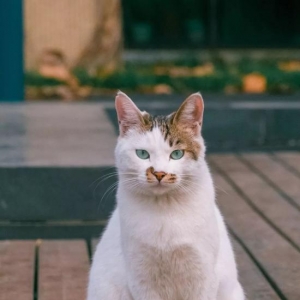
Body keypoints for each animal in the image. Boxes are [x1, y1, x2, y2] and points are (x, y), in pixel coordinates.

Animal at [86, 92, 244, 300]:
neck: (165, 208)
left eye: (177, 154)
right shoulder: (141, 278)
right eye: (142, 154)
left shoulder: (203, 274)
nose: (159, 173)